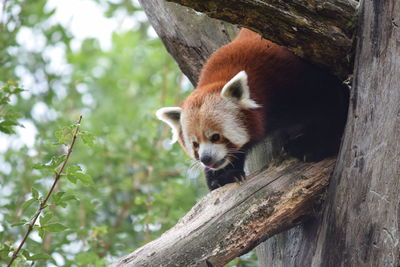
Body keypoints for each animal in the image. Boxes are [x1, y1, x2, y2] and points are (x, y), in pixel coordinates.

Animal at [156, 28, 346, 191]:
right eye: (195, 144)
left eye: (216, 137)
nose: (206, 159)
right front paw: (223, 176)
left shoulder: (296, 78)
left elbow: (330, 107)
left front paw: (313, 144)